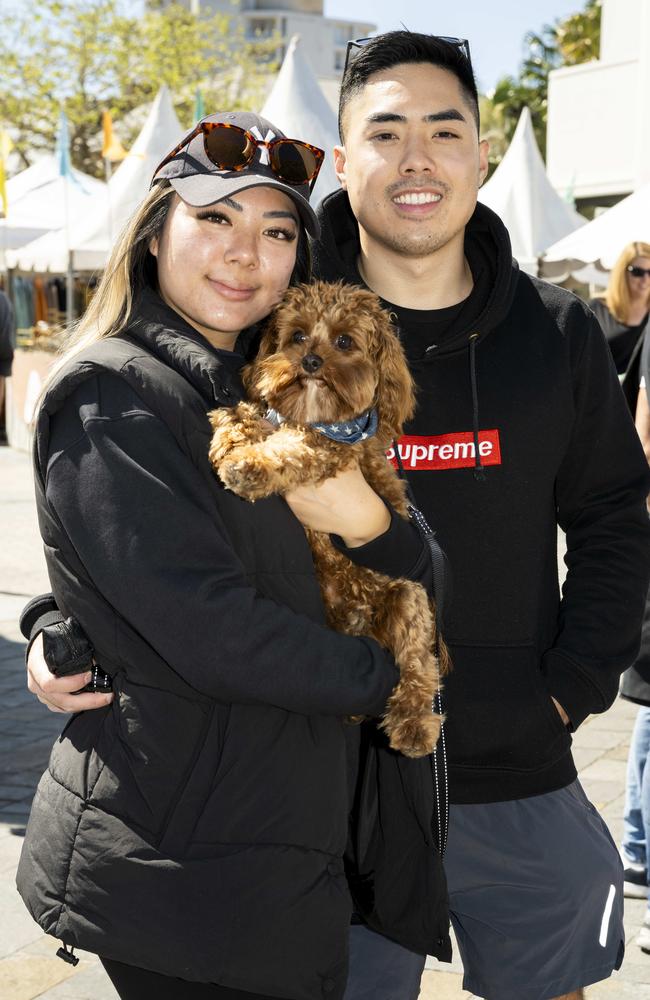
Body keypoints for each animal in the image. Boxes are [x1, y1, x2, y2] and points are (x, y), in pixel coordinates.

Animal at [210, 282, 442, 756]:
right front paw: (232, 425)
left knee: (418, 669)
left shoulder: (331, 454)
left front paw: (249, 465)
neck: (315, 417)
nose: (311, 362)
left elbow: (290, 450)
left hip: (409, 600)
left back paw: (413, 725)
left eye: (345, 342)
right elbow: (255, 419)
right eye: (298, 336)